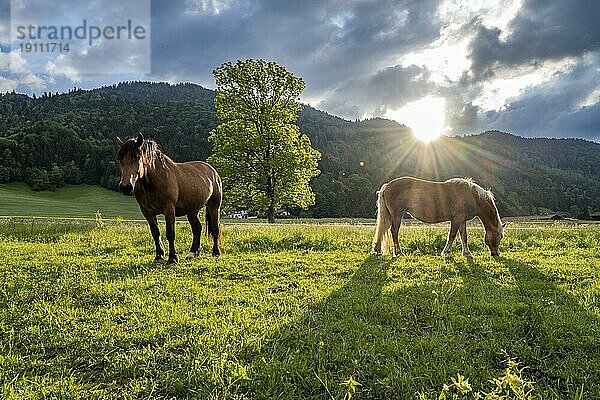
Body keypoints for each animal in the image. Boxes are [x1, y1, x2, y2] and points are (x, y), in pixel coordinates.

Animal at [116, 134, 221, 264]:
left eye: (137, 157)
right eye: (119, 159)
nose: (126, 187)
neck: (155, 180)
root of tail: (213, 171)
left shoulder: (169, 209)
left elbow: (170, 233)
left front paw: (172, 258)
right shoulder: (147, 212)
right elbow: (155, 233)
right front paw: (159, 255)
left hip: (214, 205)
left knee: (215, 227)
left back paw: (216, 252)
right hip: (192, 210)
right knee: (197, 228)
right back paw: (193, 253)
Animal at [372, 177, 504, 258]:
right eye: (500, 236)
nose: (496, 253)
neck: (473, 197)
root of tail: (387, 186)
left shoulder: (462, 220)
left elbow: (463, 236)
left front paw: (466, 253)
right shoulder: (456, 219)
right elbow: (452, 235)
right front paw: (446, 252)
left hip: (390, 215)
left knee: (383, 230)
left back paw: (377, 250)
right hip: (397, 214)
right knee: (394, 231)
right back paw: (398, 252)